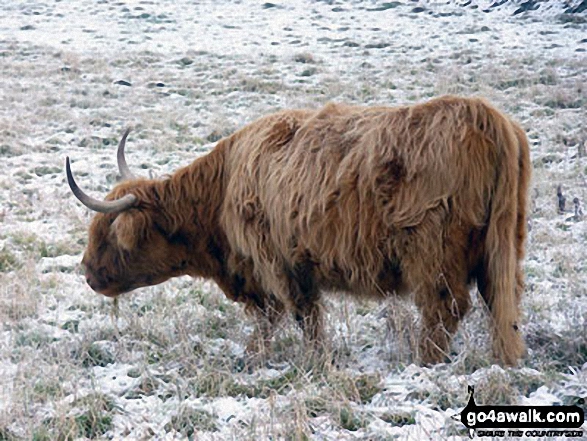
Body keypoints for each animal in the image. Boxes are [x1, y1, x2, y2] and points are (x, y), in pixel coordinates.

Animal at [66, 96, 532, 364]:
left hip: (432, 253)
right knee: (499, 302)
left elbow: (292, 315)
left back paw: (425, 362)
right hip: (504, 246)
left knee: (443, 308)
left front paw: (301, 359)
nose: (86, 272)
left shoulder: (277, 263)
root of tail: (484, 114)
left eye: (108, 235)